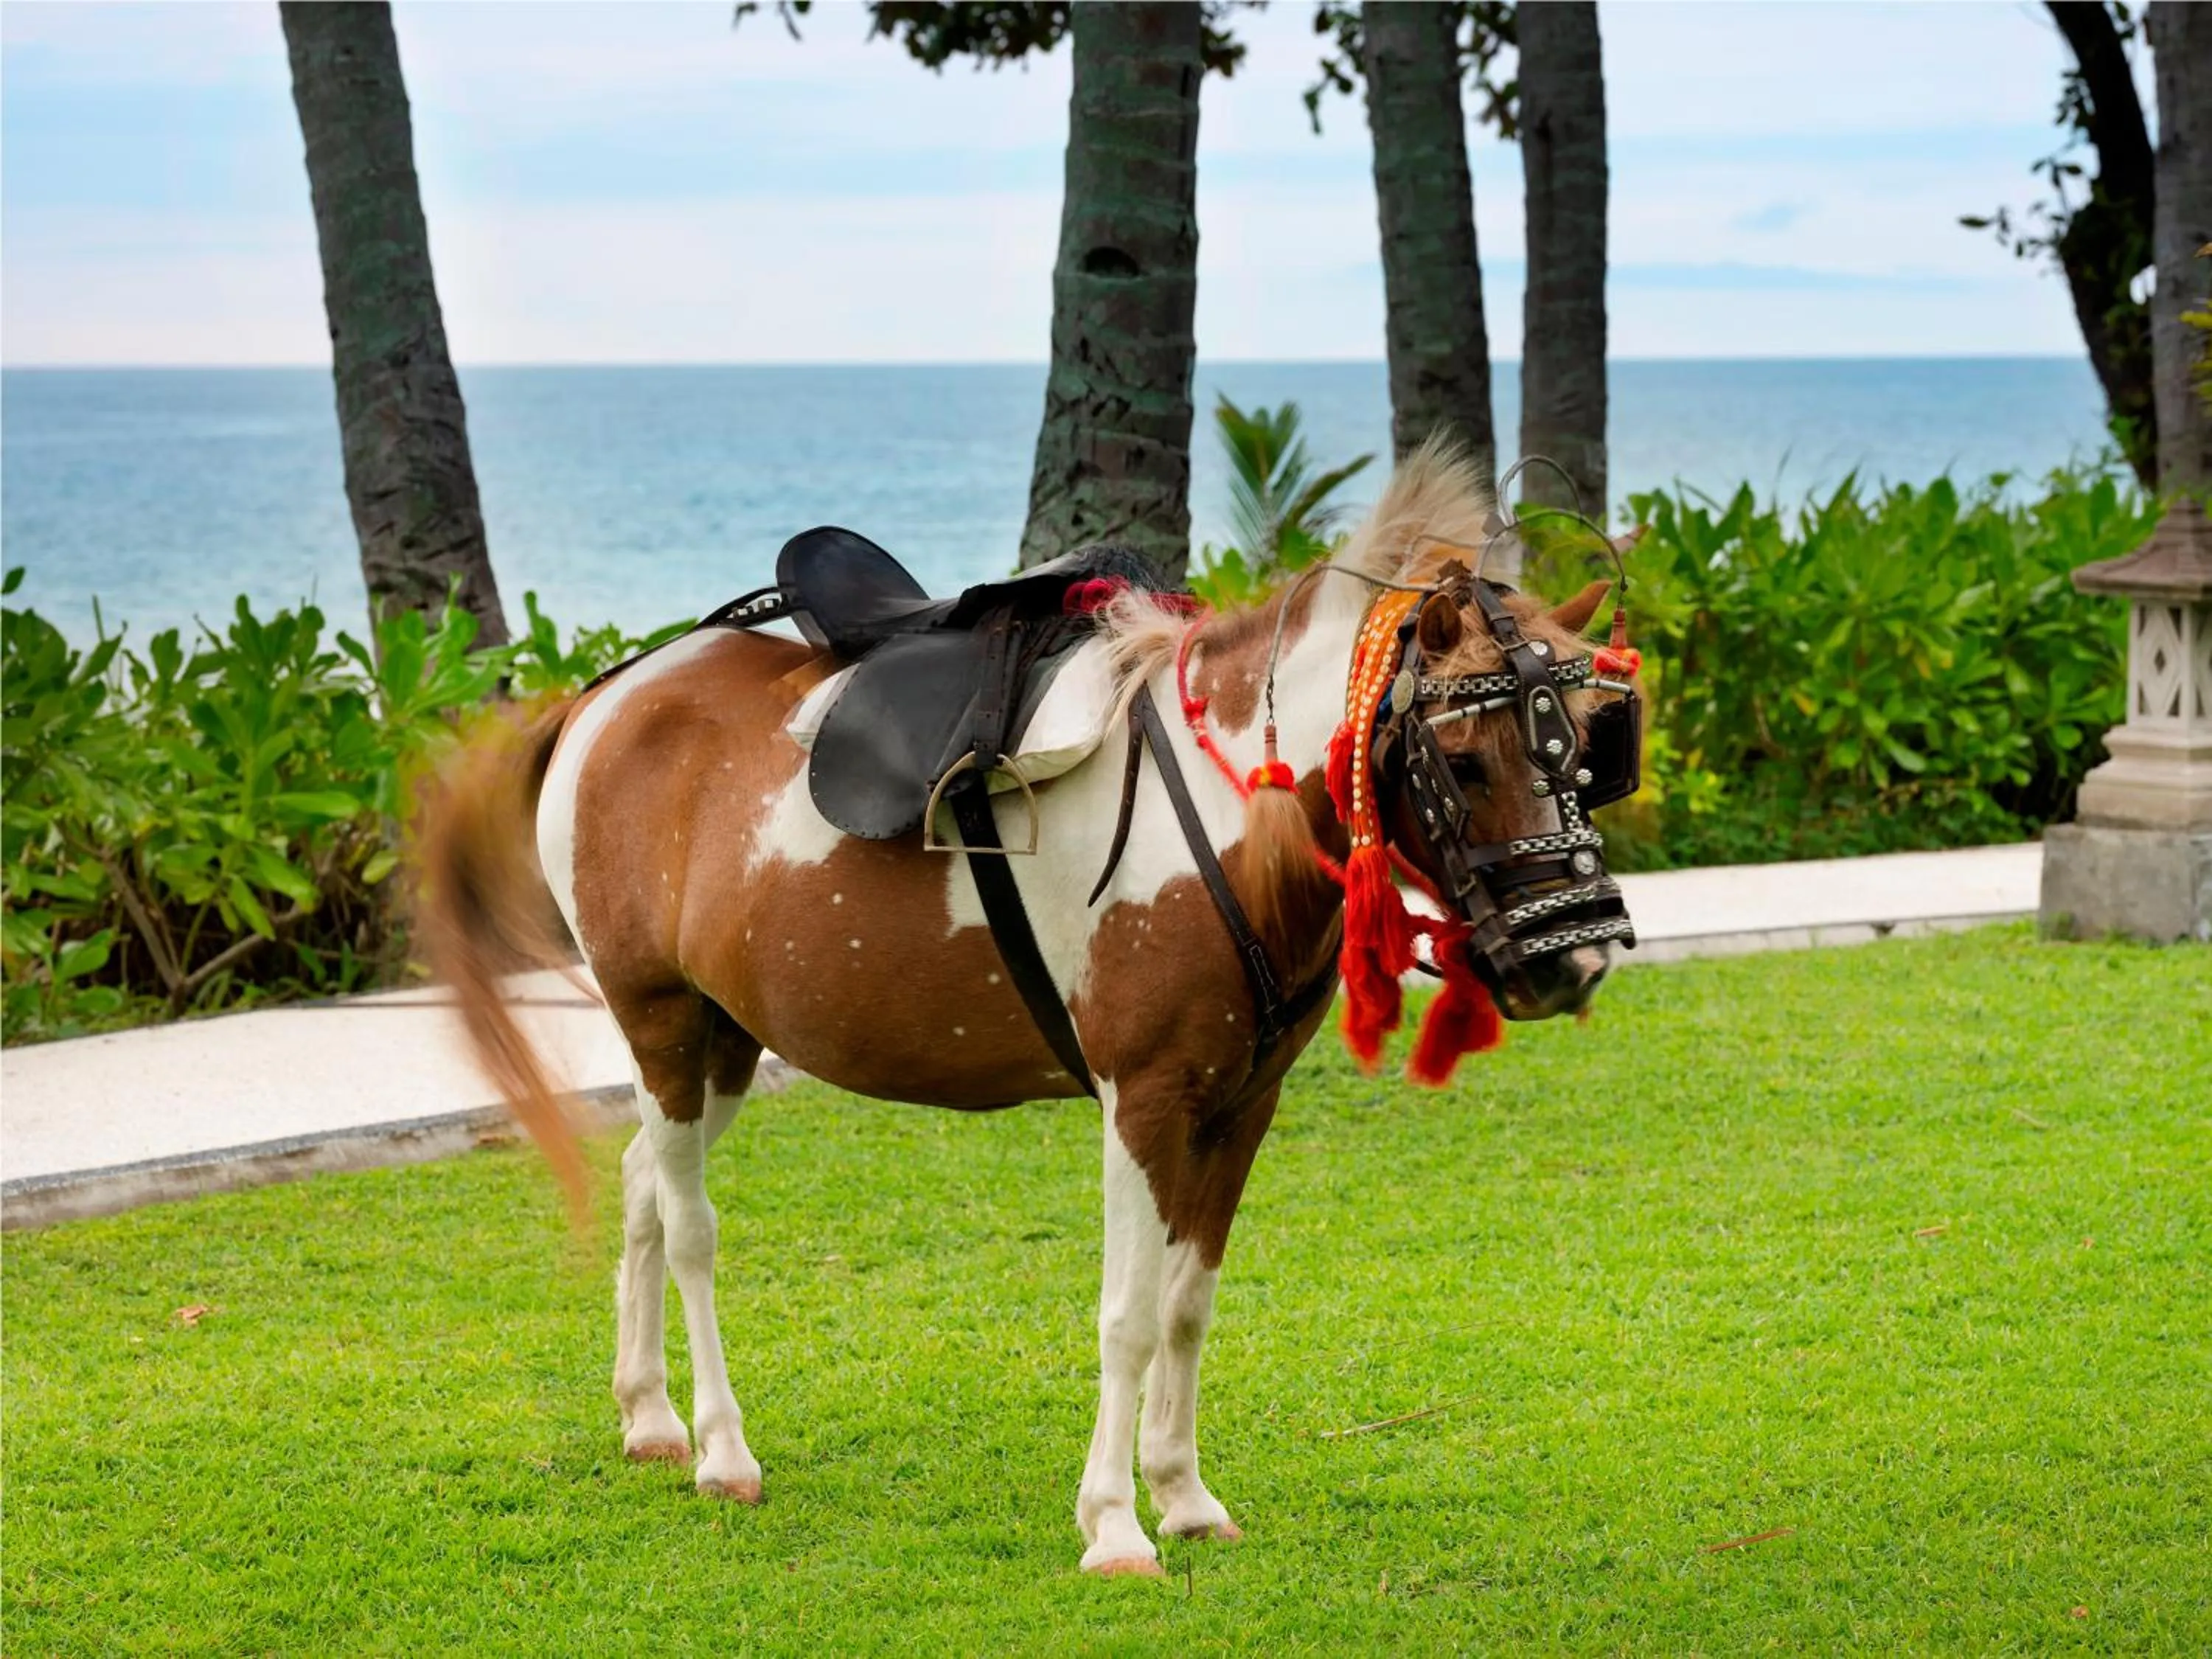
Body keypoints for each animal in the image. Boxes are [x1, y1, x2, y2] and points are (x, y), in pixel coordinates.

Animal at [415, 443, 1639, 1578]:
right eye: (1463, 759)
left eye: (1591, 748)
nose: (1571, 960)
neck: (1230, 819)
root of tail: (604, 694)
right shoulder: (1143, 1099)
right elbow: (1130, 1312)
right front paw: (1115, 1523)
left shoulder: (1241, 1103)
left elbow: (1189, 1303)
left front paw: (1183, 1494)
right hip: (661, 1015)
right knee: (689, 1223)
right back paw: (720, 1444)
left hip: (723, 1036)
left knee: (639, 1183)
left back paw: (651, 1416)